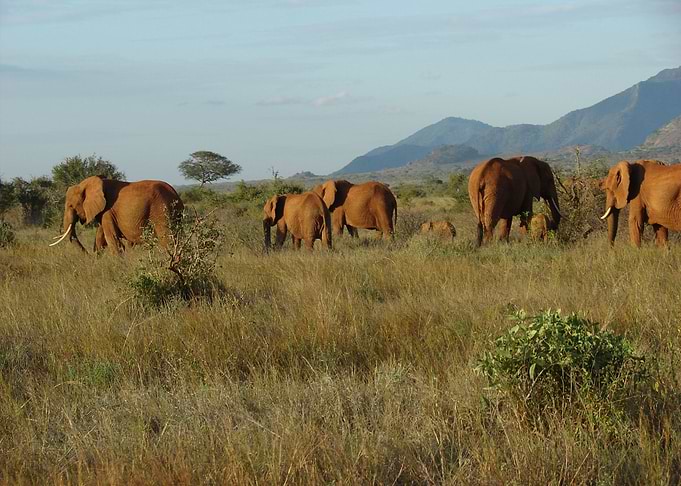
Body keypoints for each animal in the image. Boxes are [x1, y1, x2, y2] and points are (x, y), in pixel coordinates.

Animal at [50, 176, 183, 255]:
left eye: (71, 206)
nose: (88, 256)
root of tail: (175, 194)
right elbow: (100, 237)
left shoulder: (108, 211)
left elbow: (112, 240)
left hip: (161, 210)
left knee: (167, 240)